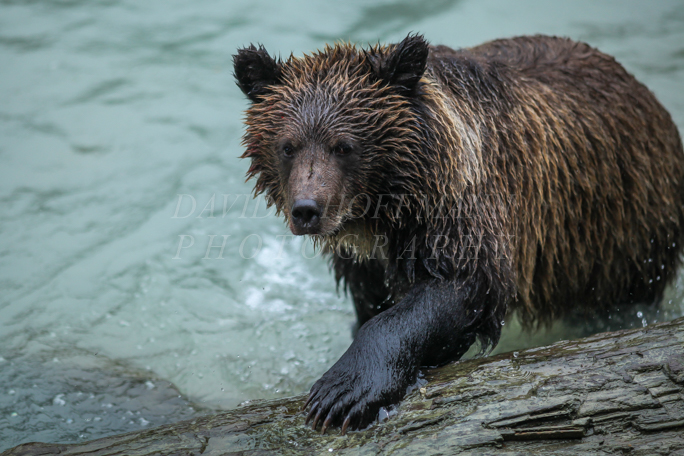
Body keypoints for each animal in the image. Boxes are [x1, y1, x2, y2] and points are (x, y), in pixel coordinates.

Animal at [234, 33, 684, 432]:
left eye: (343, 145)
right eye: (288, 146)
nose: (307, 209)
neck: (383, 211)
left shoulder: (459, 204)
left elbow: (461, 285)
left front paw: (343, 392)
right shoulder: (364, 261)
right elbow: (374, 301)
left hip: (620, 230)